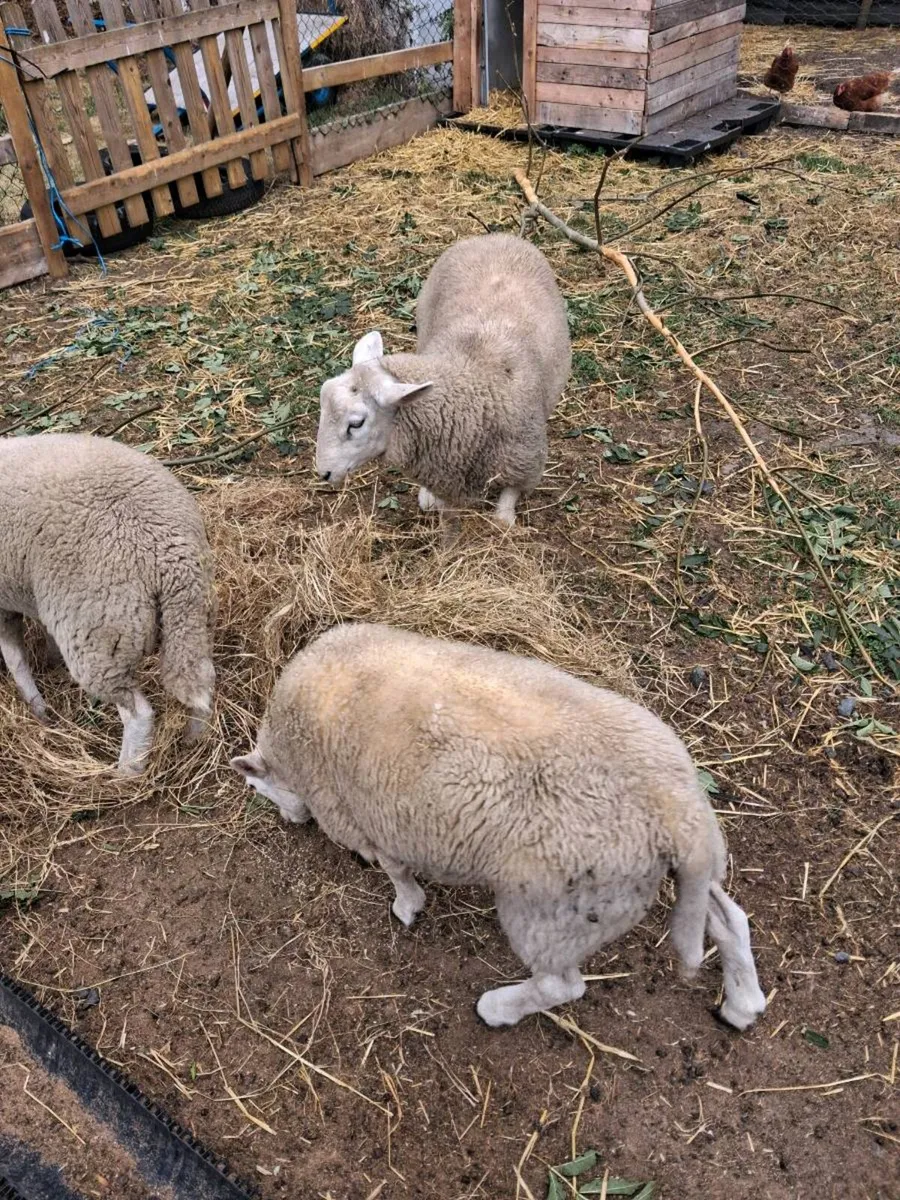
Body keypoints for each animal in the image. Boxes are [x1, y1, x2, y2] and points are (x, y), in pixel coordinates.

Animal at [0, 434, 216, 774]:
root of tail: (168, 552)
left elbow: (14, 658)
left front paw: (36, 707)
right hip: (192, 615)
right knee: (202, 679)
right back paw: (194, 739)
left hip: (100, 629)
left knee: (139, 713)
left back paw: (126, 772)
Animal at [231, 622, 767, 1031]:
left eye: (255, 787)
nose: (287, 816)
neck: (291, 747)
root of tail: (677, 816)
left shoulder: (367, 823)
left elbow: (397, 873)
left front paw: (407, 908)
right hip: (684, 862)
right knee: (729, 917)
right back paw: (742, 1004)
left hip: (551, 913)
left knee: (561, 985)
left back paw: (497, 1008)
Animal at [315, 232, 572, 529]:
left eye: (356, 423)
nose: (323, 473)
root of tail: (496, 236)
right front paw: (429, 498)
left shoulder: (526, 458)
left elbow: (509, 498)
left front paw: (504, 520)